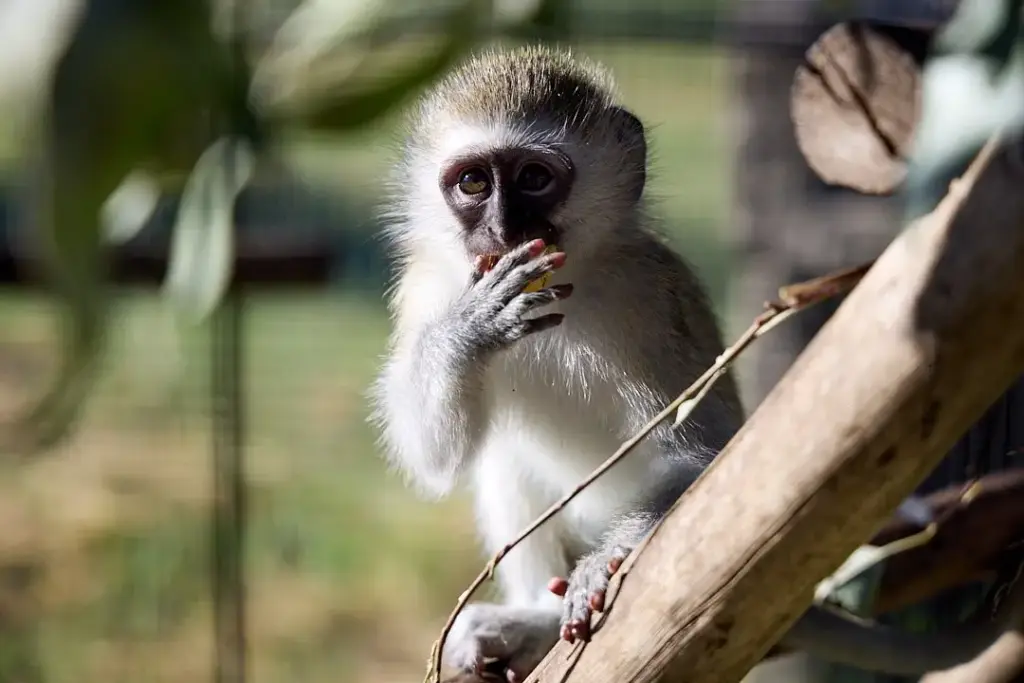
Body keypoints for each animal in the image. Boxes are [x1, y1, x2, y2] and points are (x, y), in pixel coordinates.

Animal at [367, 45, 1024, 682]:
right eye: (473, 183)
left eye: (533, 178)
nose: (503, 227)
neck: (567, 282)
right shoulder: (425, 288)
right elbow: (433, 457)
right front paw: (474, 327)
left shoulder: (653, 299)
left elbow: (700, 458)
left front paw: (605, 563)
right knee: (499, 455)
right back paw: (531, 616)